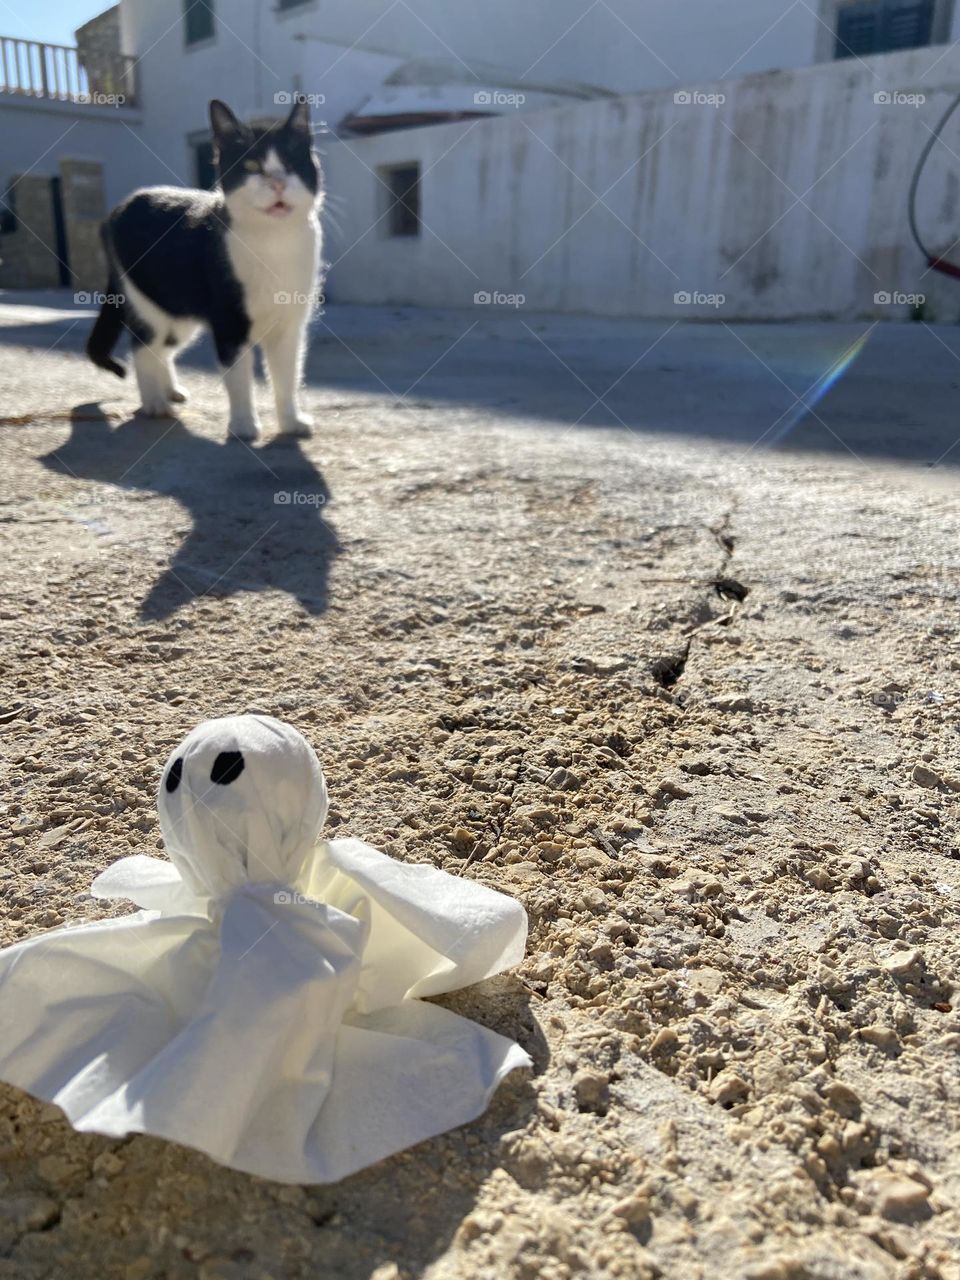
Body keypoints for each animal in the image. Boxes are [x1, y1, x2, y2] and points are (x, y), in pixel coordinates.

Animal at [87, 96, 320, 440]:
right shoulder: (228, 320)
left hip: (179, 308)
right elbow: (238, 377)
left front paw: (291, 422)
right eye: (252, 166)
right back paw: (154, 402)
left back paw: (170, 390)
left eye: (292, 164)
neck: (274, 242)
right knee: (143, 345)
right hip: (145, 297)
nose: (278, 183)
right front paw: (244, 426)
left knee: (163, 349)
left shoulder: (290, 325)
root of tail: (118, 208)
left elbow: (287, 375)